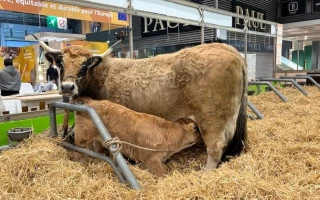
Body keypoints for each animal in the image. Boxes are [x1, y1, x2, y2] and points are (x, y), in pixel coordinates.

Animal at [65, 97, 200, 177]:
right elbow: (163, 173)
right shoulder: (151, 160)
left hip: (100, 139)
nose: (200, 136)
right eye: (196, 128)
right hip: (82, 138)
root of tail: (91, 101)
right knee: (78, 151)